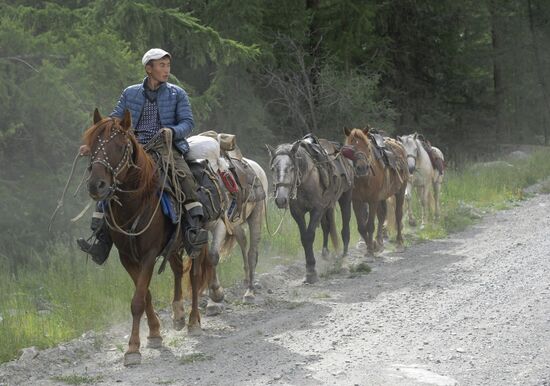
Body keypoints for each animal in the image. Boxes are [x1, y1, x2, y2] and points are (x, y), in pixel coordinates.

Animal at [83, 108, 215, 364]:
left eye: (120, 146)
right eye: (93, 145)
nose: (96, 185)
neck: (134, 203)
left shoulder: (149, 254)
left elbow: (137, 300)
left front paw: (133, 349)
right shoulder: (127, 257)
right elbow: (145, 296)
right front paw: (154, 334)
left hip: (198, 242)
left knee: (194, 277)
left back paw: (193, 321)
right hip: (173, 246)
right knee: (177, 271)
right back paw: (178, 314)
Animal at [270, 136, 356, 284]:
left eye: (292, 168)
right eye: (273, 168)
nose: (281, 199)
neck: (305, 180)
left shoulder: (316, 209)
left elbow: (309, 235)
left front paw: (311, 272)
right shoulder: (297, 213)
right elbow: (304, 237)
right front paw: (309, 270)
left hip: (346, 196)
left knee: (345, 228)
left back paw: (344, 260)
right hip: (327, 206)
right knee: (327, 227)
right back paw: (326, 253)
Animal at [344, 127, 410, 256]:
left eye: (367, 147)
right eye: (351, 148)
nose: (362, 168)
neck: (366, 178)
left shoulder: (373, 200)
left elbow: (370, 225)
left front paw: (370, 249)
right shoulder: (357, 201)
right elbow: (361, 227)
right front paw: (372, 246)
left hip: (400, 190)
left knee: (398, 214)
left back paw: (399, 243)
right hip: (382, 196)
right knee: (382, 215)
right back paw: (379, 242)